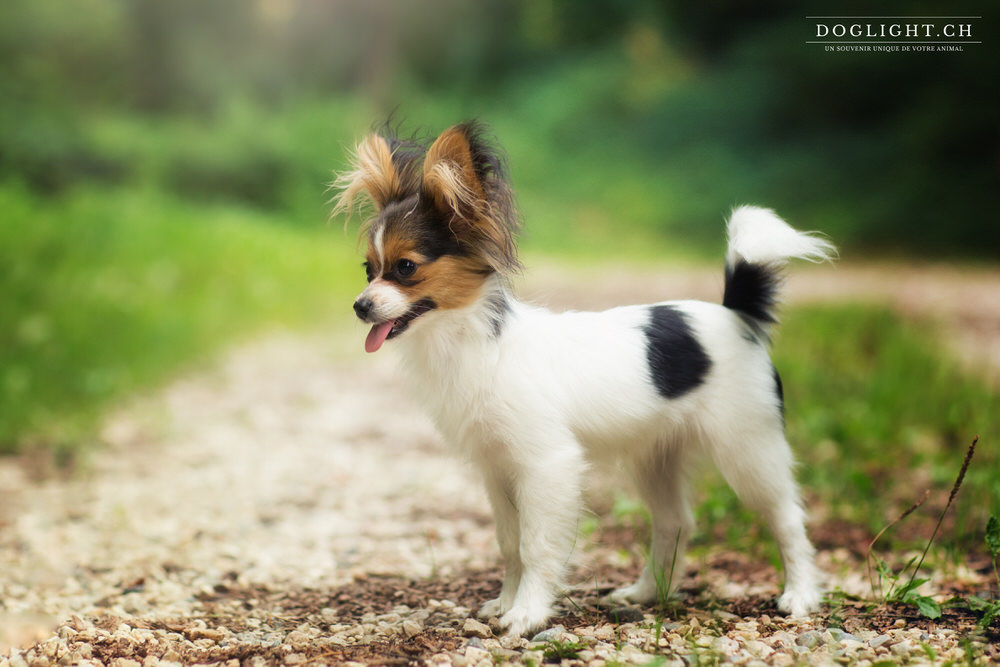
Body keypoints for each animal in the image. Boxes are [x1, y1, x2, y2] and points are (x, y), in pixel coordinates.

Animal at [336, 121, 836, 636]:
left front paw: (527, 613)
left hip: (748, 448)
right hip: (656, 456)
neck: (471, 343)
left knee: (786, 518)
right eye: (368, 270)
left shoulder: (546, 464)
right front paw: (505, 602)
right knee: (674, 522)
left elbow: (535, 545)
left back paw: (800, 595)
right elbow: (509, 544)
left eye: (405, 268)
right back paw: (647, 593)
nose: (360, 306)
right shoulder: (497, 468)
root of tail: (736, 313)